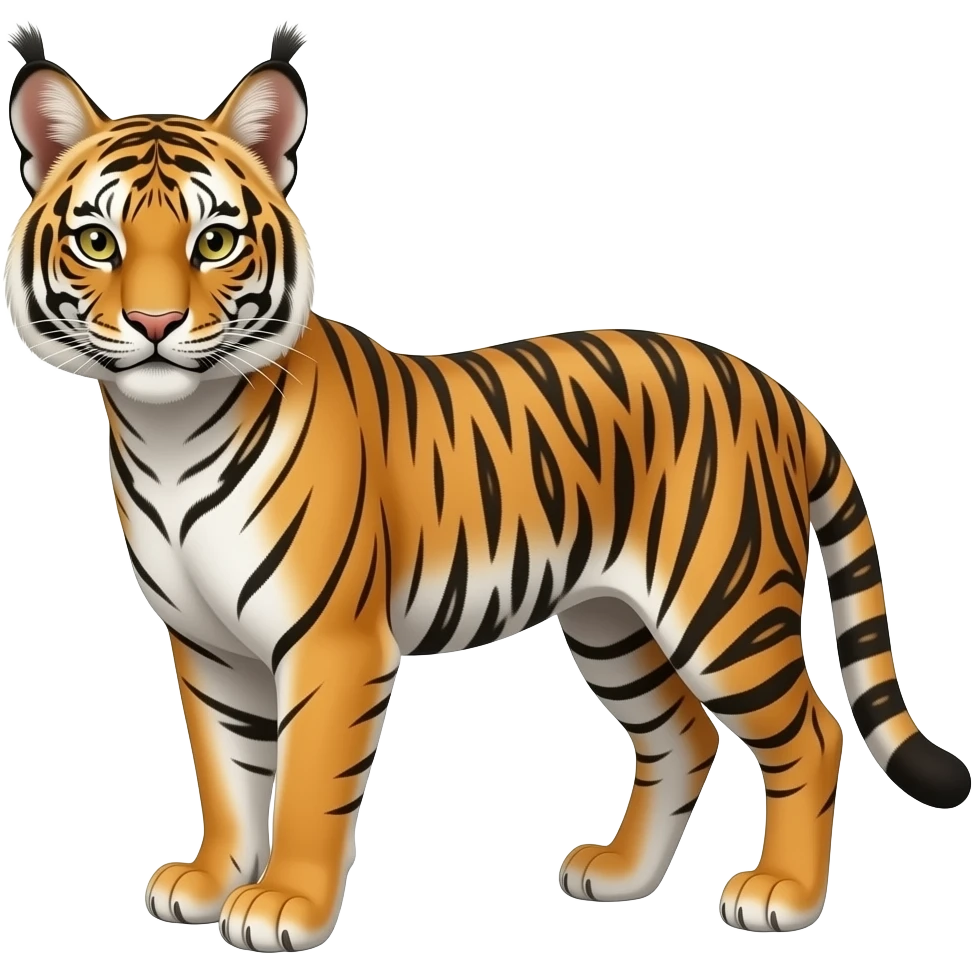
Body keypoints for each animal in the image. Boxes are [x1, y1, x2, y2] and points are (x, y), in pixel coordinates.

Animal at [4, 19, 969, 953]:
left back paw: (784, 896)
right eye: (98, 242)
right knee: (682, 734)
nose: (155, 323)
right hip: (610, 621)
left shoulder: (331, 645)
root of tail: (774, 389)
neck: (166, 434)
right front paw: (209, 881)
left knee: (812, 732)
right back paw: (621, 875)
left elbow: (308, 783)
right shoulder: (208, 646)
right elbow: (228, 773)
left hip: (724, 609)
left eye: (215, 242)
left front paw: (285, 905)